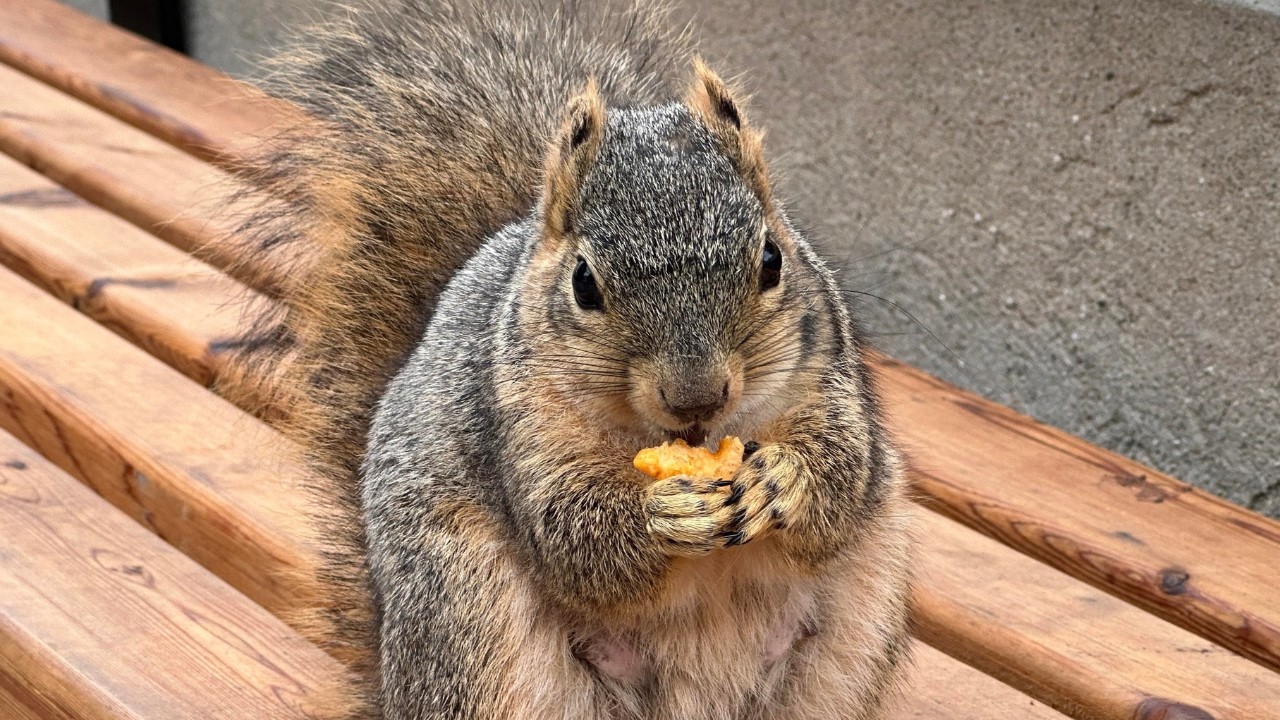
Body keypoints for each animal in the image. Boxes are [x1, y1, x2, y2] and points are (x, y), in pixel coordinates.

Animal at [225, 1, 914, 719]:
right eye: (584, 283)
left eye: (773, 259)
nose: (696, 397)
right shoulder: (522, 427)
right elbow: (573, 541)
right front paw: (660, 514)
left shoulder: (827, 379)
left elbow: (843, 476)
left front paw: (780, 478)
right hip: (468, 622)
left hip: (857, 629)